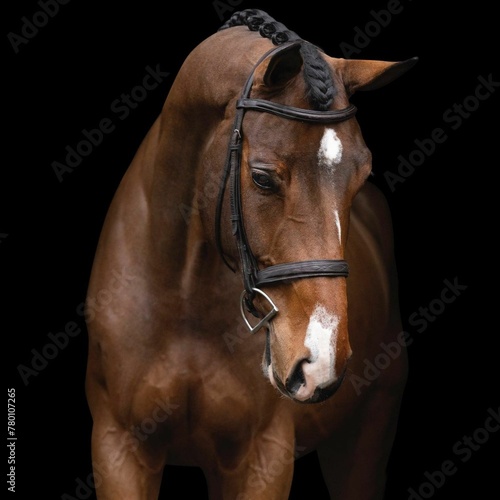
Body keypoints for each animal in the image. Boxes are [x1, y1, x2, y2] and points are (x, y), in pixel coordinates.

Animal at [86, 8, 418, 500]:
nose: (320, 361)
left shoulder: (262, 456)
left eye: (360, 178)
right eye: (262, 177)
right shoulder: (119, 448)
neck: (183, 298)